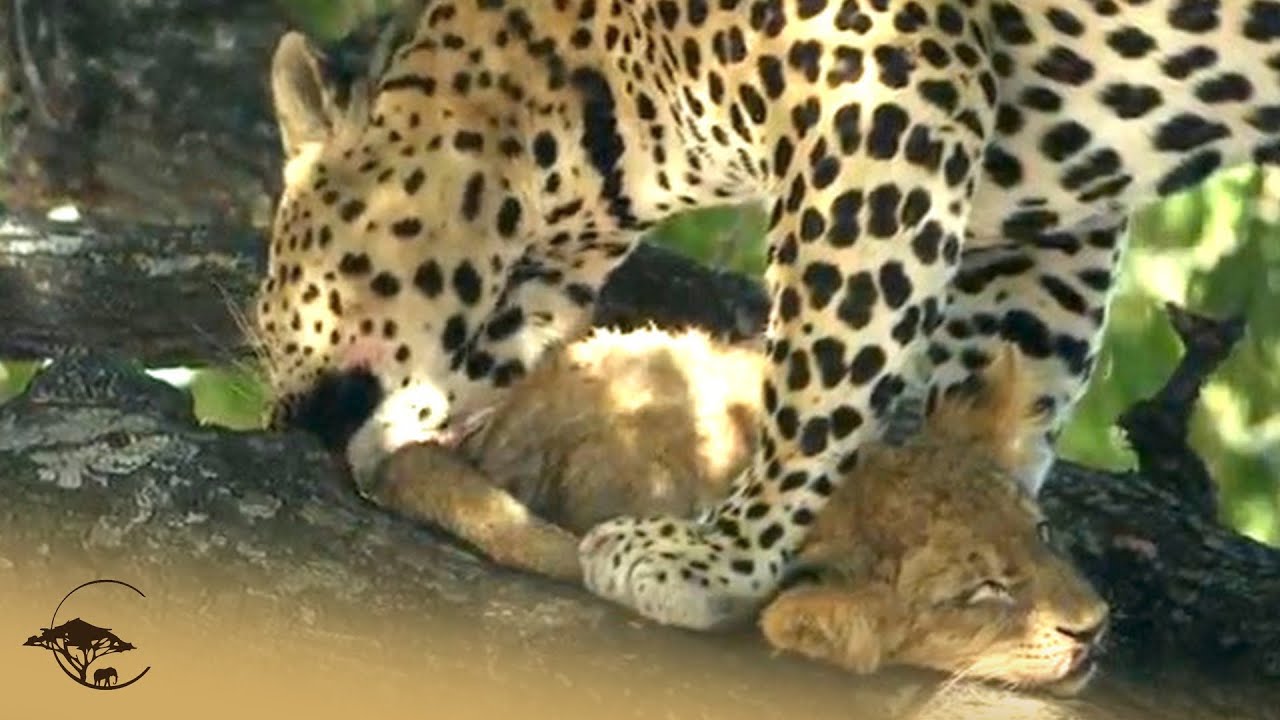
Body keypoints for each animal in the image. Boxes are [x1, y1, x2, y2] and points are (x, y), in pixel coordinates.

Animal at [255, 0, 1280, 630]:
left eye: (273, 323)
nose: (287, 421)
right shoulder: (1049, 202)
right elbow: (1013, 375)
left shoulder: (884, 106)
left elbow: (824, 369)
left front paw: (718, 559)